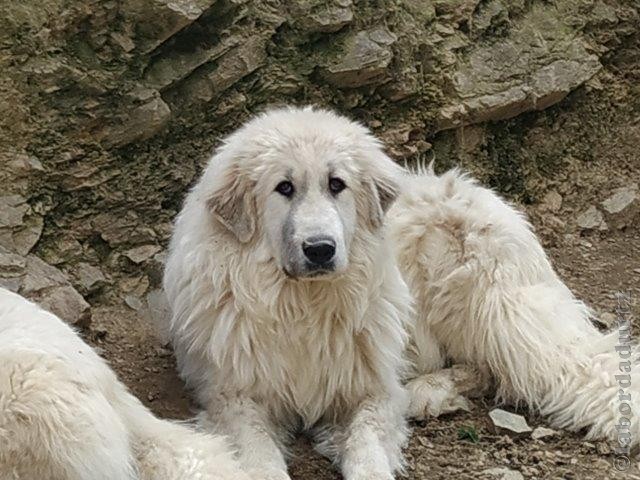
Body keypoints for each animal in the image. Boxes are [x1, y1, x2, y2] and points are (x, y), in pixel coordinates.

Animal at [162, 106, 636, 480]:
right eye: (284, 188)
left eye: (337, 184)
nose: (320, 249)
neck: (304, 304)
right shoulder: (235, 398)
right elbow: (259, 456)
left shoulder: (372, 390)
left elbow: (367, 443)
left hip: (486, 303)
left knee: (505, 364)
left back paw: (427, 392)